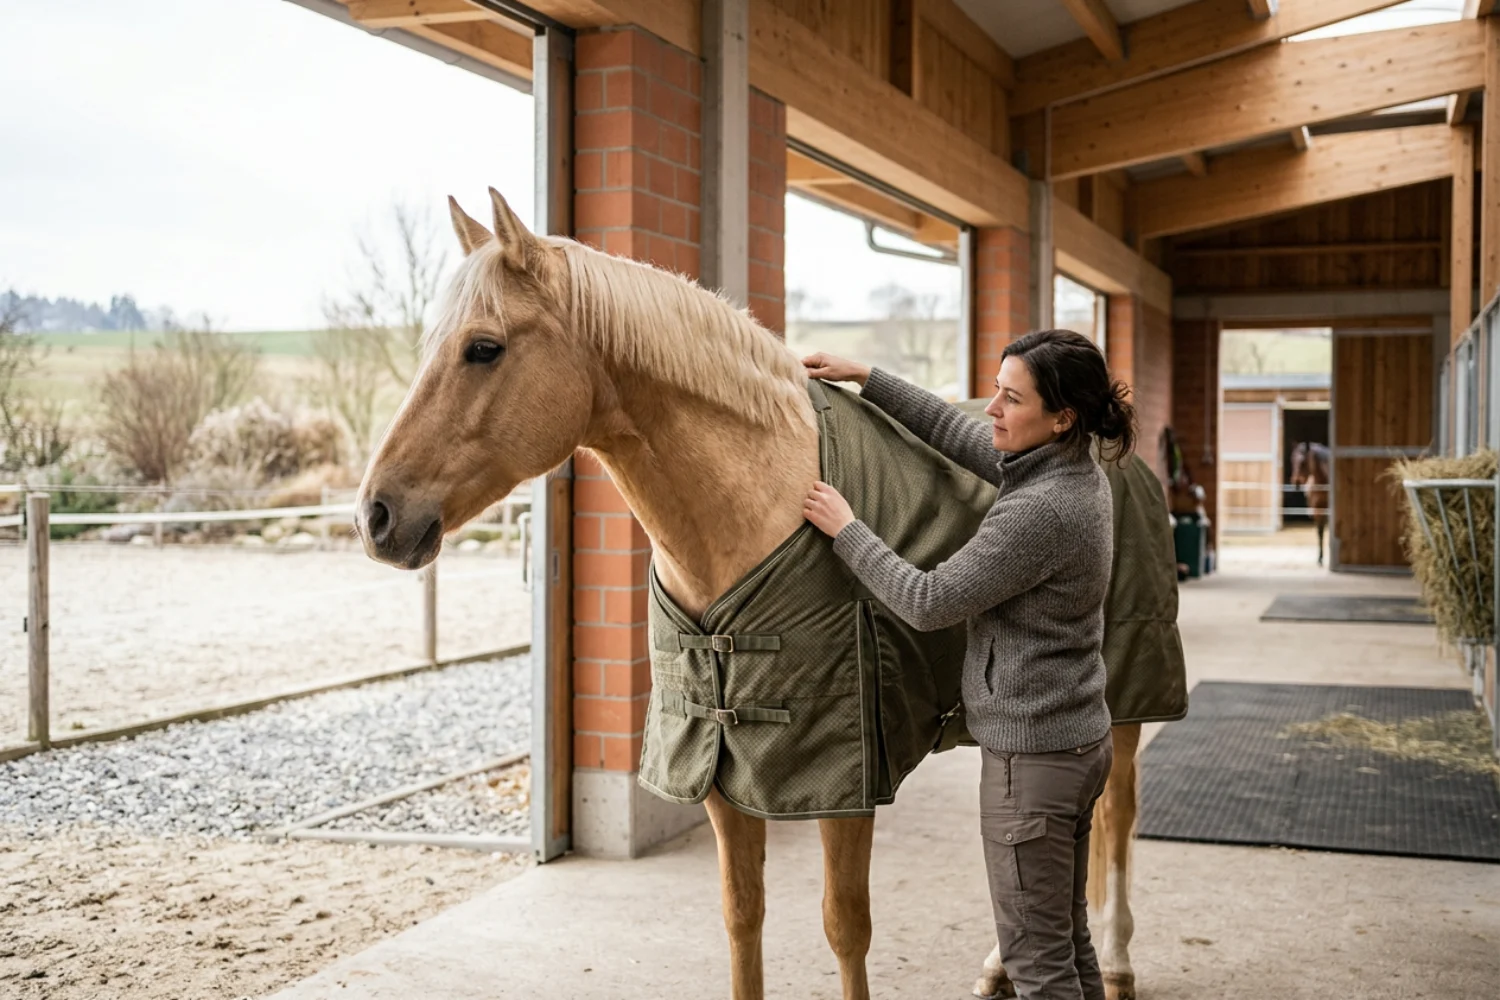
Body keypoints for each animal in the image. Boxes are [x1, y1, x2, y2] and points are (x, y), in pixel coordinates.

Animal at [355, 188, 1154, 1000]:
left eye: (483, 347)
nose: (376, 515)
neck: (764, 500)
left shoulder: (846, 776)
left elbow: (846, 926)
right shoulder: (716, 762)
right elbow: (743, 916)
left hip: (1120, 704)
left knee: (1114, 813)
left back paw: (1119, 958)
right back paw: (1001, 964)